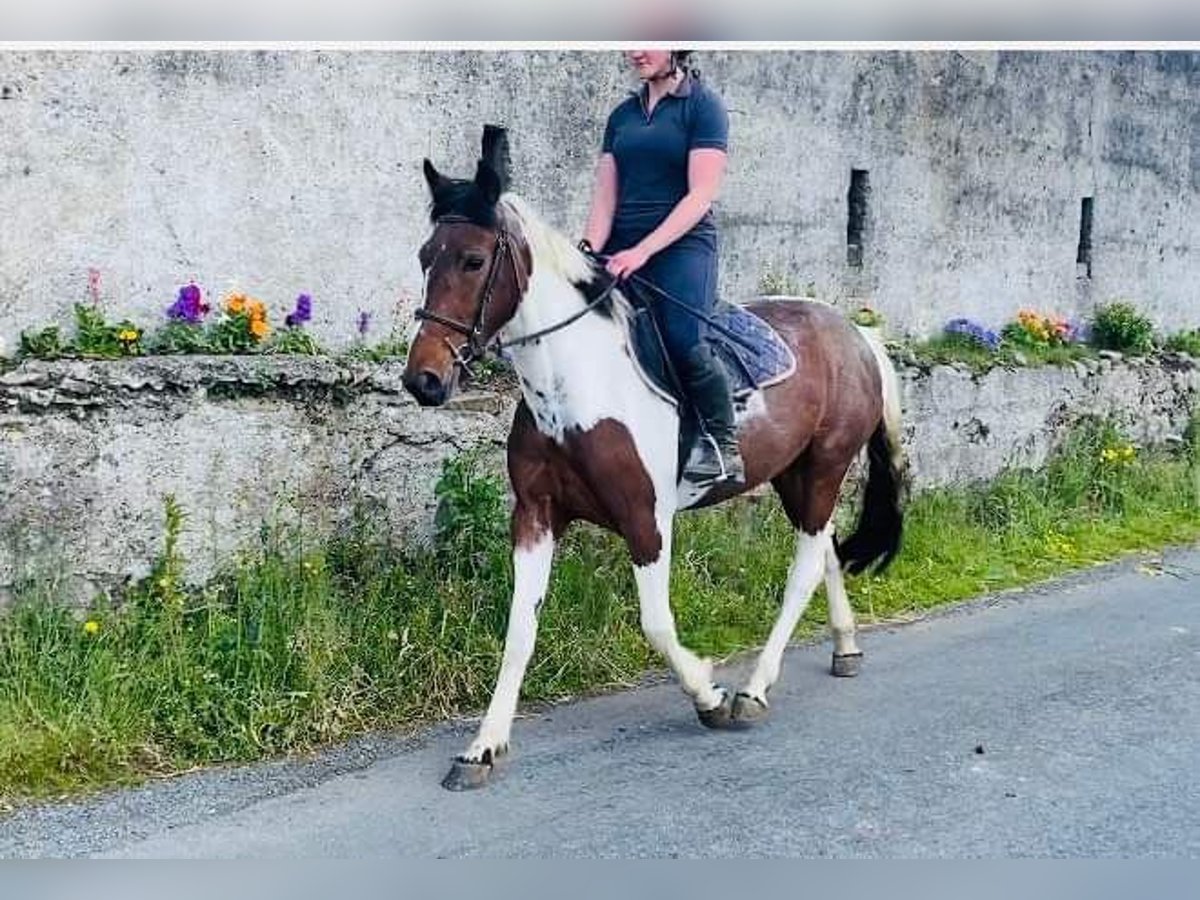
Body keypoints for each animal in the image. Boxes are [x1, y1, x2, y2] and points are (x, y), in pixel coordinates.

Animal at [403, 125, 902, 787]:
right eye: (425, 256)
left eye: (473, 260)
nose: (423, 381)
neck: (573, 388)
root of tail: (855, 332)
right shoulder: (534, 516)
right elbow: (519, 632)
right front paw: (481, 747)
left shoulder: (647, 518)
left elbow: (657, 624)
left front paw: (710, 695)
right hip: (792, 475)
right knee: (824, 554)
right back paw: (845, 647)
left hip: (826, 466)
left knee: (803, 571)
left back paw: (754, 690)